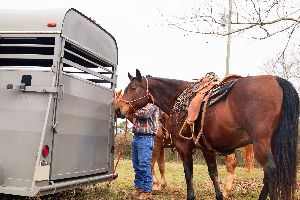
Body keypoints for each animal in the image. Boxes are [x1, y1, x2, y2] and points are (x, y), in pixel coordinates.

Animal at [115, 69, 298, 200]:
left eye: (133, 88)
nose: (118, 109)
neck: (178, 100)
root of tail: (277, 81)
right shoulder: (207, 148)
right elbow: (213, 173)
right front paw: (220, 195)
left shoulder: (182, 147)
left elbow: (187, 174)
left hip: (261, 143)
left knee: (271, 172)